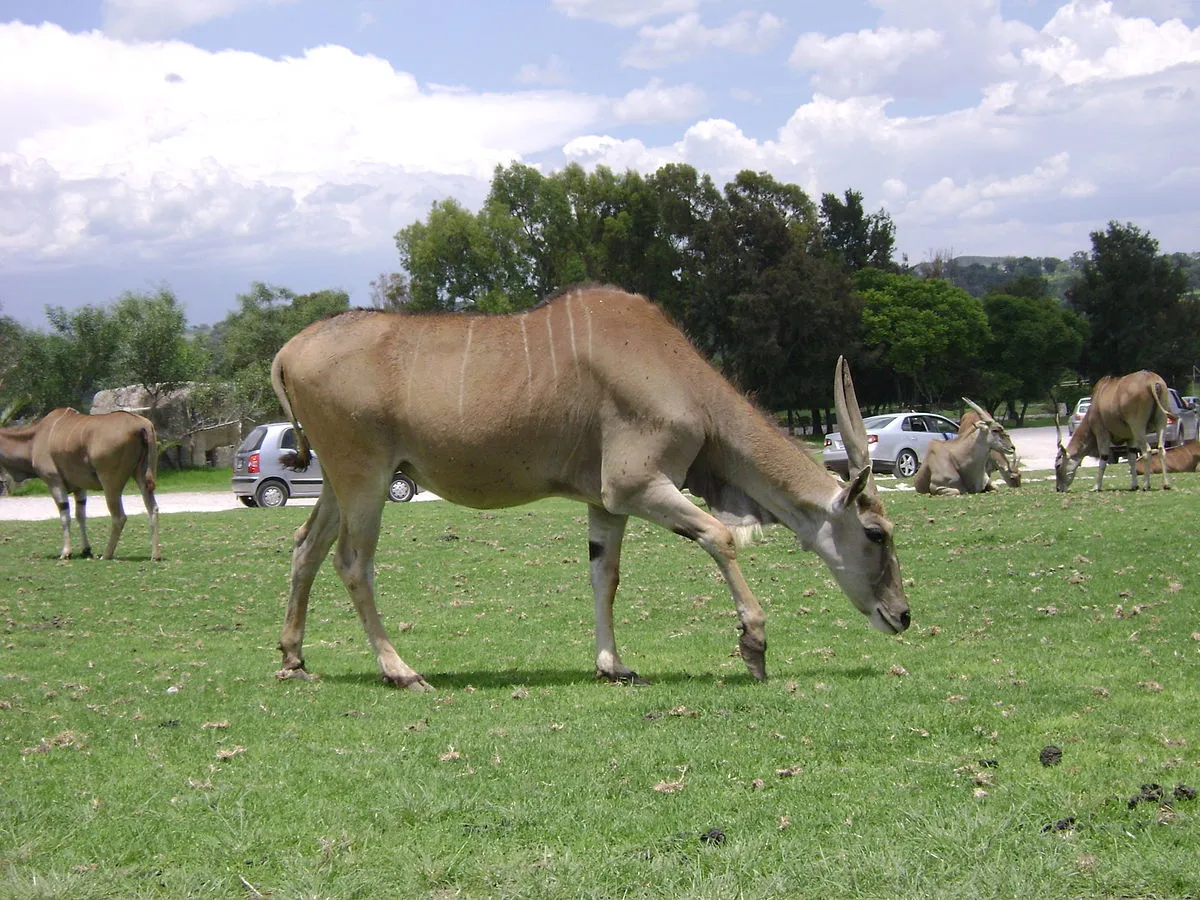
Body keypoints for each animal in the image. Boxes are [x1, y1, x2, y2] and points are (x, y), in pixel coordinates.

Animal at [0, 410, 160, 564]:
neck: (33, 438)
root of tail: (142, 425)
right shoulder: (80, 487)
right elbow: (80, 515)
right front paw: (86, 550)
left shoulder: (54, 482)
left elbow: (65, 516)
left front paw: (66, 553)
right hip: (141, 476)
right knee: (152, 508)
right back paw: (155, 555)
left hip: (110, 482)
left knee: (119, 517)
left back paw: (106, 555)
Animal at [272, 285, 907, 696]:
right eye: (876, 533)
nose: (900, 615)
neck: (681, 377)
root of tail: (287, 352)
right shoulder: (634, 485)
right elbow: (719, 536)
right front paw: (753, 645)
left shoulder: (606, 505)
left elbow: (605, 576)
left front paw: (613, 665)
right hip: (365, 477)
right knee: (352, 562)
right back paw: (399, 670)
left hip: (339, 483)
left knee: (306, 547)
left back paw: (295, 660)